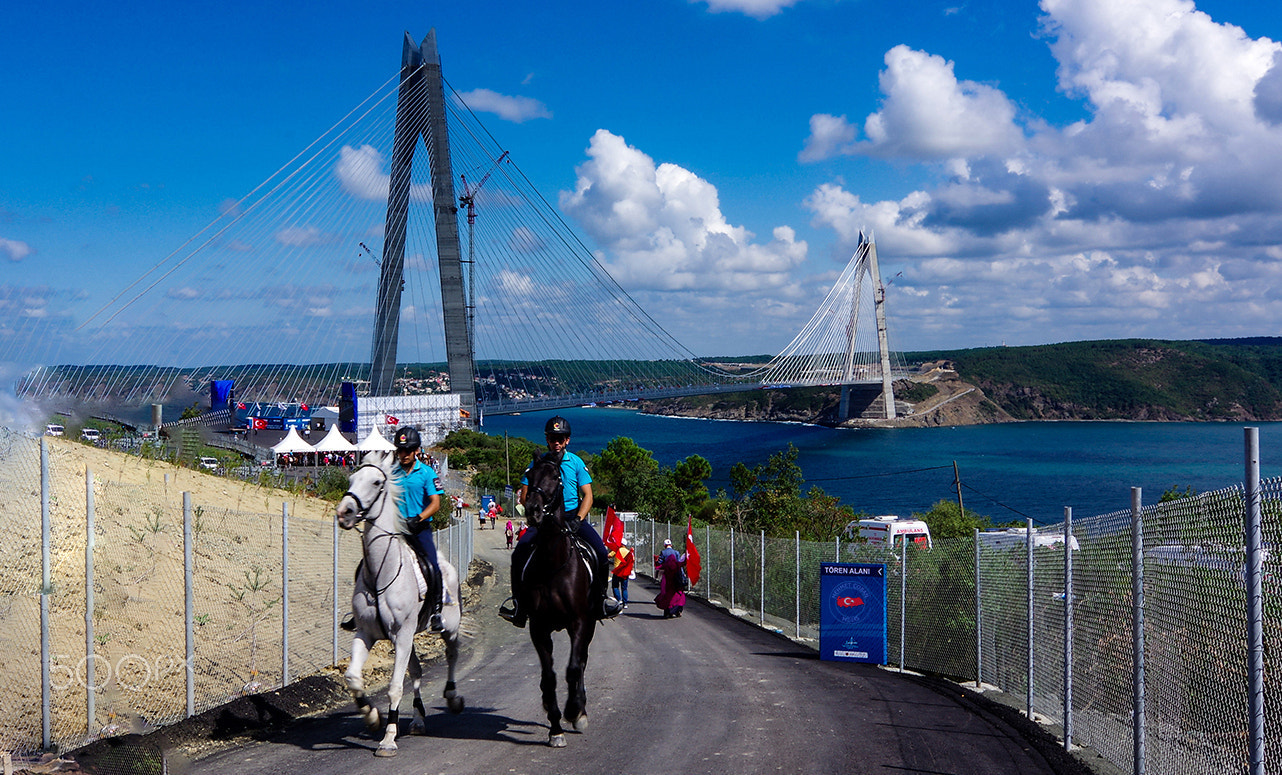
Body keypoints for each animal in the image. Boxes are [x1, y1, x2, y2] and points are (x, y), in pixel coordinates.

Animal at [335, 453, 466, 753]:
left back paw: (453, 697)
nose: (344, 512)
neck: (381, 572)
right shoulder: (366, 633)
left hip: (448, 627)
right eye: (351, 479)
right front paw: (372, 716)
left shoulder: (403, 635)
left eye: (376, 482)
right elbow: (352, 677)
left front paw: (388, 739)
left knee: (452, 653)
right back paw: (417, 720)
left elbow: (395, 687)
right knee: (416, 671)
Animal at [515, 450, 594, 748]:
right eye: (530, 476)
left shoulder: (579, 622)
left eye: (556, 477)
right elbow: (549, 677)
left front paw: (573, 711)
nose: (534, 510)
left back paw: (580, 709)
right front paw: (555, 727)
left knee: (581, 661)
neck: (552, 563)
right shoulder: (539, 627)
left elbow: (572, 668)